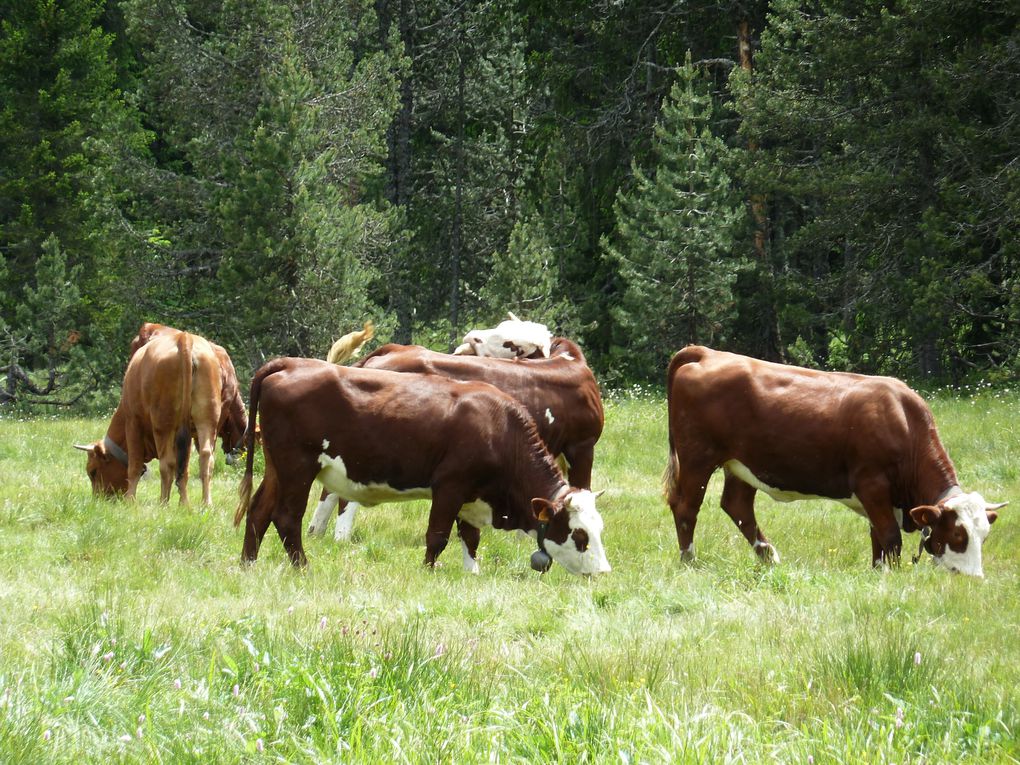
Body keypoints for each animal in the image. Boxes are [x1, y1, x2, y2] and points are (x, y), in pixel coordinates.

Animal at [74, 330, 225, 505]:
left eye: (92, 471)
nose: (99, 500)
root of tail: (184, 337)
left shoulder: (133, 423)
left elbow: (134, 466)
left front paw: (130, 500)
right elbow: (184, 469)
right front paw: (183, 503)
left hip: (163, 425)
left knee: (167, 463)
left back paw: (163, 503)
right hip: (207, 420)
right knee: (205, 458)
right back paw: (204, 503)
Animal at [234, 359, 607, 575]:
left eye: (599, 528)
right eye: (580, 535)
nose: (604, 572)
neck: (499, 428)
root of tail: (290, 364)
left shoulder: (472, 495)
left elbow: (470, 537)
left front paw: (472, 573)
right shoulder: (450, 486)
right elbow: (438, 535)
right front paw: (428, 571)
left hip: (277, 467)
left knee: (258, 510)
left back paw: (247, 565)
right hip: (298, 466)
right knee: (286, 517)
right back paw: (303, 567)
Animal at [660, 346, 1003, 575]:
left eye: (984, 536)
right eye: (958, 534)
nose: (973, 577)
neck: (903, 420)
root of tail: (708, 353)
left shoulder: (879, 497)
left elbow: (877, 536)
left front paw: (877, 570)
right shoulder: (871, 483)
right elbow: (890, 536)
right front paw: (892, 575)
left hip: (744, 464)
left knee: (737, 506)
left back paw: (768, 556)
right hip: (697, 457)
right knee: (686, 506)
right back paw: (689, 561)